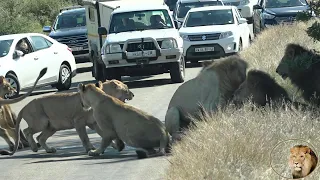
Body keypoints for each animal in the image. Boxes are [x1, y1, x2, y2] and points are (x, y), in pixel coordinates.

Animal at [0, 79, 134, 155]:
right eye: (126, 89)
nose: (132, 94)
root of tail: (25, 106)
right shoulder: (78, 122)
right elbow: (85, 138)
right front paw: (89, 149)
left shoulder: (94, 123)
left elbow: (104, 135)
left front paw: (117, 146)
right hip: (41, 122)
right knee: (27, 131)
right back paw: (34, 148)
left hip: (51, 127)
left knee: (40, 137)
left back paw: (49, 150)